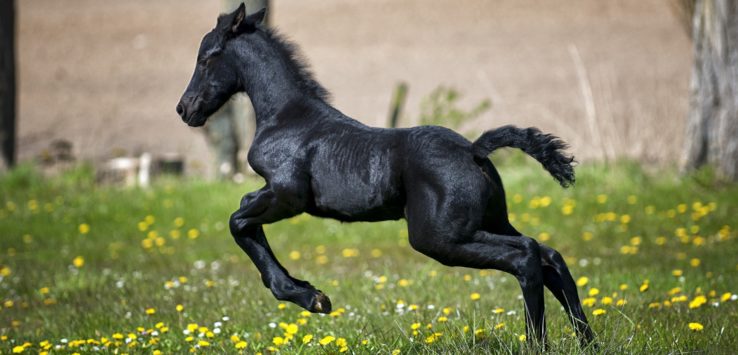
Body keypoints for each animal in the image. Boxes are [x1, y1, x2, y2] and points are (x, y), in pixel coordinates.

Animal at [177, 3, 592, 348]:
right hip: (488, 222)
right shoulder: (274, 195)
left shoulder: (287, 195)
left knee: (527, 256)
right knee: (549, 255)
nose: (184, 109)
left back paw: (537, 343)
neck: (287, 117)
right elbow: (245, 217)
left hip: (440, 237)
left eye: (206, 58)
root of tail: (474, 150)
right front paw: (309, 293)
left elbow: (238, 220)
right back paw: (587, 341)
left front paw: (311, 297)